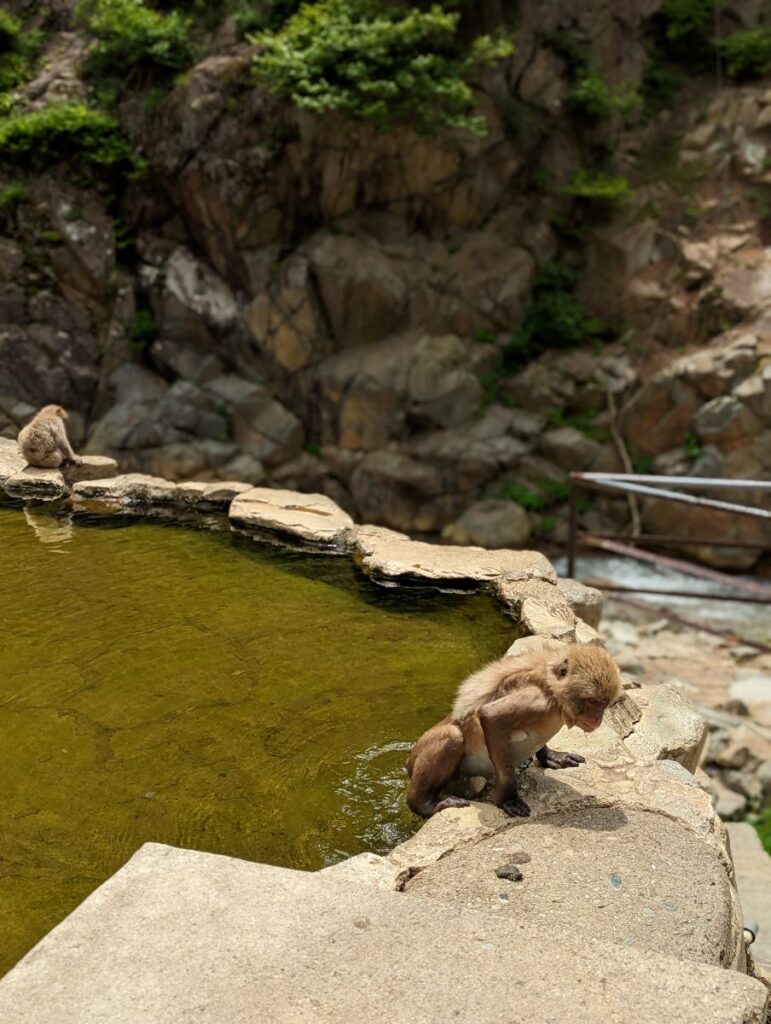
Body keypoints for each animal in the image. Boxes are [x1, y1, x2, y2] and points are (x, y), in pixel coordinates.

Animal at [406, 644, 622, 819]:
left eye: (603, 704)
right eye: (593, 701)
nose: (598, 718)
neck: (555, 696)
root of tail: (408, 763)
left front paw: (550, 756)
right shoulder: (537, 701)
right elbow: (491, 717)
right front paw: (506, 798)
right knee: (453, 736)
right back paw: (422, 804)